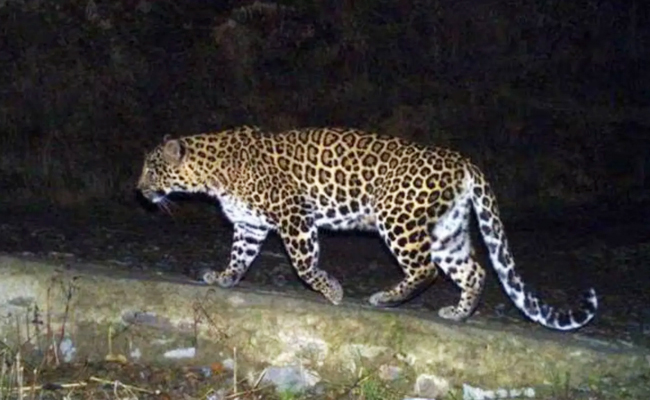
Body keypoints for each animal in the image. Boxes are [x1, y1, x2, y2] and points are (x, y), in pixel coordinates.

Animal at [137, 125, 598, 331]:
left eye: (152, 168)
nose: (139, 190)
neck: (212, 171)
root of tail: (462, 160)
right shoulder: (250, 225)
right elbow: (239, 257)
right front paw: (224, 278)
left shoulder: (293, 214)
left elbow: (304, 264)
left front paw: (332, 291)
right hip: (447, 230)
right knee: (475, 271)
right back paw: (458, 313)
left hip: (398, 218)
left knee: (425, 270)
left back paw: (385, 298)